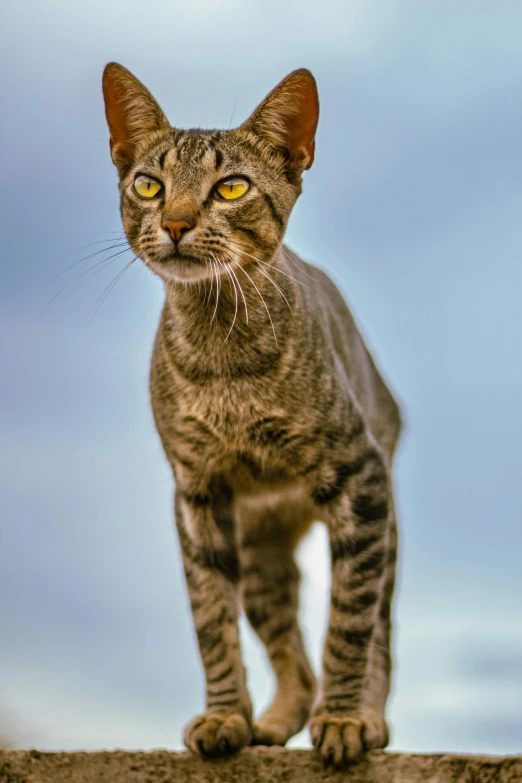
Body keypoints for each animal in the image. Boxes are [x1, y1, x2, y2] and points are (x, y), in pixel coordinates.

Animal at [102, 62, 402, 772]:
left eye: (231, 187)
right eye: (149, 185)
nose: (176, 222)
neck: (224, 356)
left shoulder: (360, 474)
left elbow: (349, 620)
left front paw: (344, 721)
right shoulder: (196, 491)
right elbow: (211, 617)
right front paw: (225, 717)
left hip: (382, 519)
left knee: (378, 625)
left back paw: (365, 714)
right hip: (261, 553)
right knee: (291, 650)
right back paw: (276, 720)